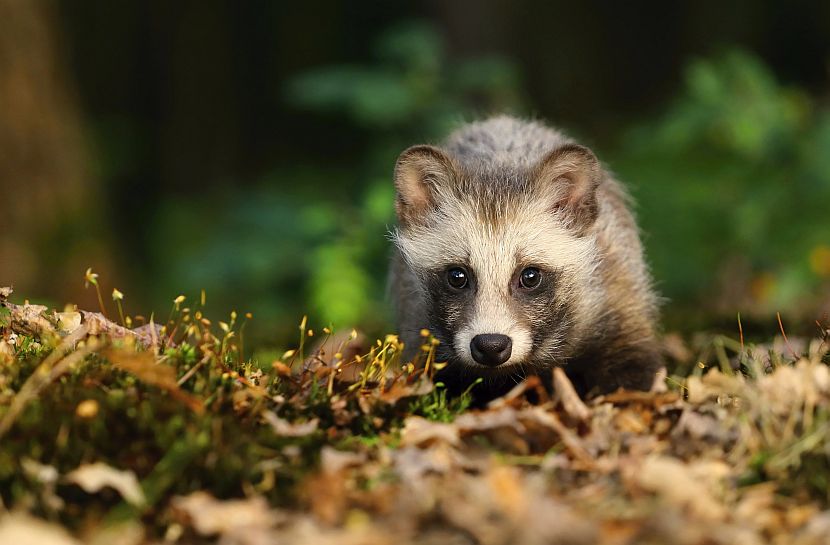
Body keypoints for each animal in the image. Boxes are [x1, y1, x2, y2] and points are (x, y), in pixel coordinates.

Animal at [390, 116, 662, 400]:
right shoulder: (417, 317)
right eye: (457, 276)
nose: (490, 345)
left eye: (530, 276)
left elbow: (632, 369)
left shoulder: (615, 289)